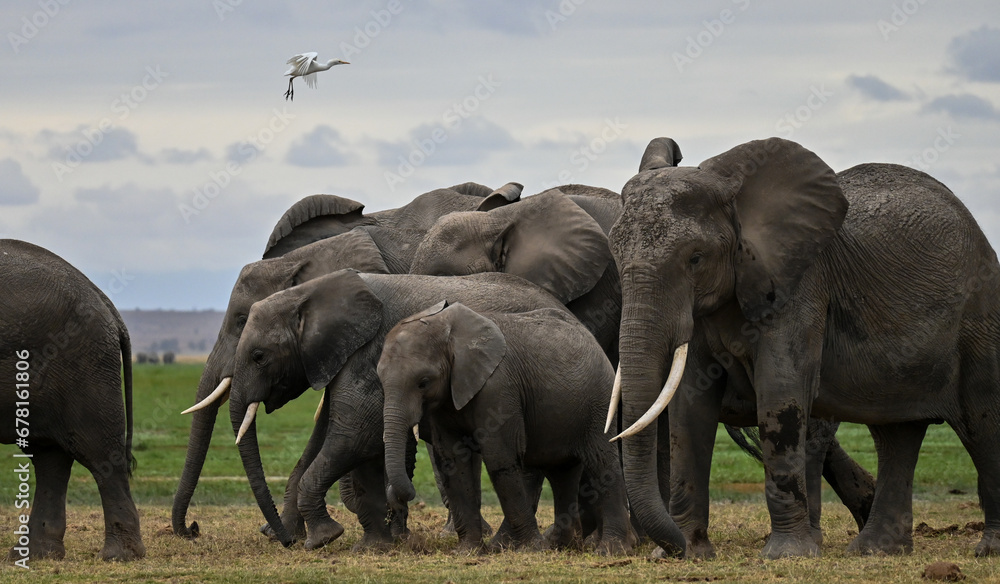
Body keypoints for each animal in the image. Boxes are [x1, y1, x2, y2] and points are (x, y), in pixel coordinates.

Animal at [0, 239, 144, 562]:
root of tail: (105, 301)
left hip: (84, 362)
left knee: (100, 455)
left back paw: (120, 555)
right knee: (49, 457)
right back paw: (34, 555)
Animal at [227, 269, 571, 549]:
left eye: (259, 356)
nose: (285, 542)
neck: (308, 292)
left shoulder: (366, 354)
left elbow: (355, 436)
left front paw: (324, 538)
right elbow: (326, 439)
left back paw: (508, 543)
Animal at [379, 301, 633, 554]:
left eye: (423, 382)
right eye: (380, 379)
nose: (401, 498)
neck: (447, 329)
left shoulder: (498, 387)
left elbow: (499, 458)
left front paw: (532, 549)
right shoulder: (446, 398)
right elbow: (454, 460)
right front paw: (467, 551)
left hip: (599, 400)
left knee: (601, 463)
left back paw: (612, 549)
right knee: (561, 472)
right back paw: (559, 545)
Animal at [609, 136, 1000, 559]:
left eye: (695, 258)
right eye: (615, 253)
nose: (674, 547)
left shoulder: (801, 284)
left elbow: (780, 390)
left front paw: (786, 555)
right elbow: (689, 404)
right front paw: (689, 554)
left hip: (979, 316)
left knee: (982, 422)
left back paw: (986, 549)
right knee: (896, 435)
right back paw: (874, 551)